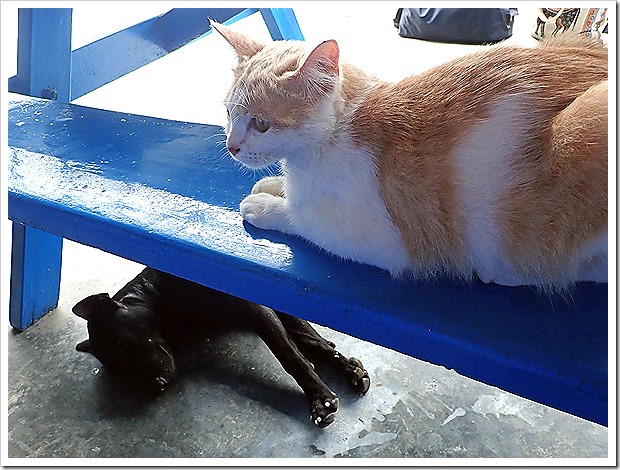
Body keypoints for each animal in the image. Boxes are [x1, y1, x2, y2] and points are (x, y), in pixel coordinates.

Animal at [75, 266, 370, 428]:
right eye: (121, 369)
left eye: (124, 344)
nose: (157, 386)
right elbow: (308, 340)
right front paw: (345, 369)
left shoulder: (257, 305)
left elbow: (291, 354)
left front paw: (321, 396)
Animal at [212, 23, 604, 290]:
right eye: (228, 111)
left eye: (262, 123)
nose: (232, 146)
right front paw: (273, 184)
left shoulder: (379, 239)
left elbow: (302, 218)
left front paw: (265, 206)